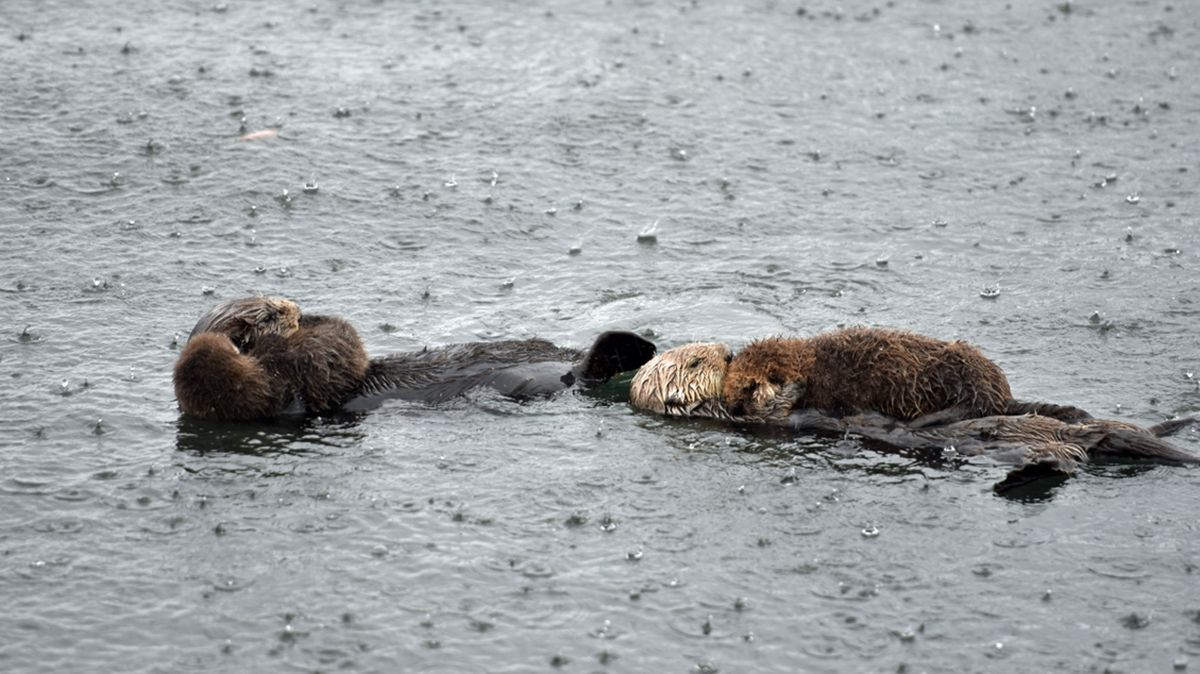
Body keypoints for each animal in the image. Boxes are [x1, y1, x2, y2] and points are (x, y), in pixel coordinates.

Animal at [174, 296, 657, 420]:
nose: (291, 306)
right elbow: (338, 348)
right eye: (270, 313)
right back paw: (634, 348)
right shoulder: (297, 388)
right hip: (554, 379)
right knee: (587, 372)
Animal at [721, 328, 1091, 424]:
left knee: (975, 407)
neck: (813, 364)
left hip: (964, 374)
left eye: (748, 387)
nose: (734, 407)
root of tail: (1003, 392)